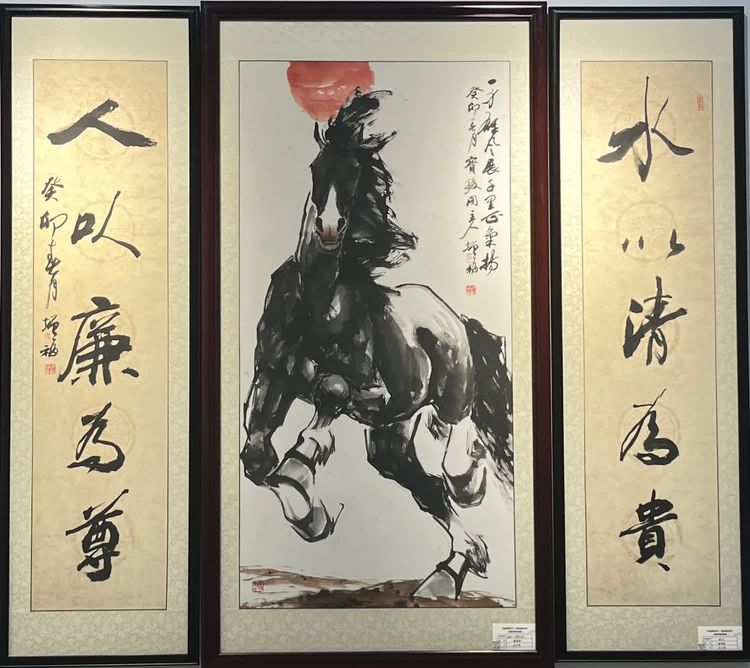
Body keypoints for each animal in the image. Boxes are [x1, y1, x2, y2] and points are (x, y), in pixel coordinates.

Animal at [241, 89, 513, 599]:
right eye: (315, 168)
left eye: (358, 175)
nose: (329, 229)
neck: (317, 307)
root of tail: (456, 317)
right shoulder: (272, 377)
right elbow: (256, 456)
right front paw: (308, 513)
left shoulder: (372, 389)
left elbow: (330, 391)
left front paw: (299, 471)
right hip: (392, 434)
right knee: (426, 487)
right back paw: (450, 572)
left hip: (446, 387)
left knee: (456, 440)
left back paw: (468, 480)